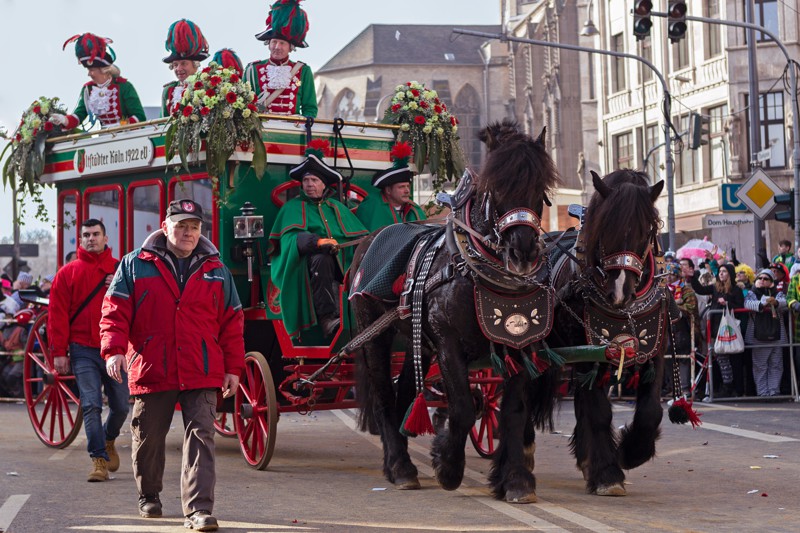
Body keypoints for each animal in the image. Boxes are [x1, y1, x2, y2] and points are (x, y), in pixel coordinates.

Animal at [352, 118, 564, 500]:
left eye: (540, 186)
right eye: (496, 186)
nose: (523, 252)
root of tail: (368, 239)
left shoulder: (519, 342)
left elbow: (513, 411)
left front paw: (515, 479)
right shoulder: (448, 341)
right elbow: (464, 407)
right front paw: (447, 465)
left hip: (417, 341)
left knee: (405, 394)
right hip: (373, 333)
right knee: (384, 398)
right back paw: (400, 467)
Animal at [552, 169, 668, 494]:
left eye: (648, 229)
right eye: (604, 226)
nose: (619, 293)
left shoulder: (654, 349)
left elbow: (651, 411)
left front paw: (630, 452)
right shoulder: (588, 352)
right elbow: (599, 411)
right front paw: (607, 473)